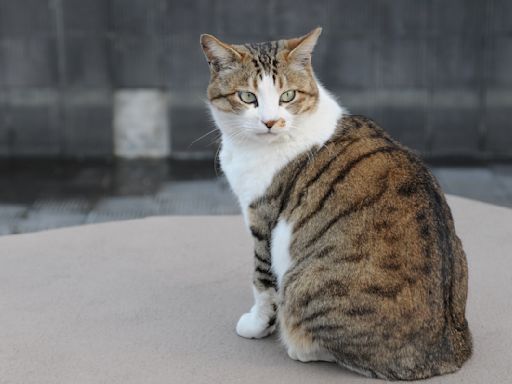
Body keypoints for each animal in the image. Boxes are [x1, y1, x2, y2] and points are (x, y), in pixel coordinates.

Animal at [200, 28, 472, 380]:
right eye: (248, 97)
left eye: (287, 96)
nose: (271, 122)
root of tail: (447, 353)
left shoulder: (263, 219)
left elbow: (262, 281)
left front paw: (257, 325)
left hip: (304, 284)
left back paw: (298, 346)